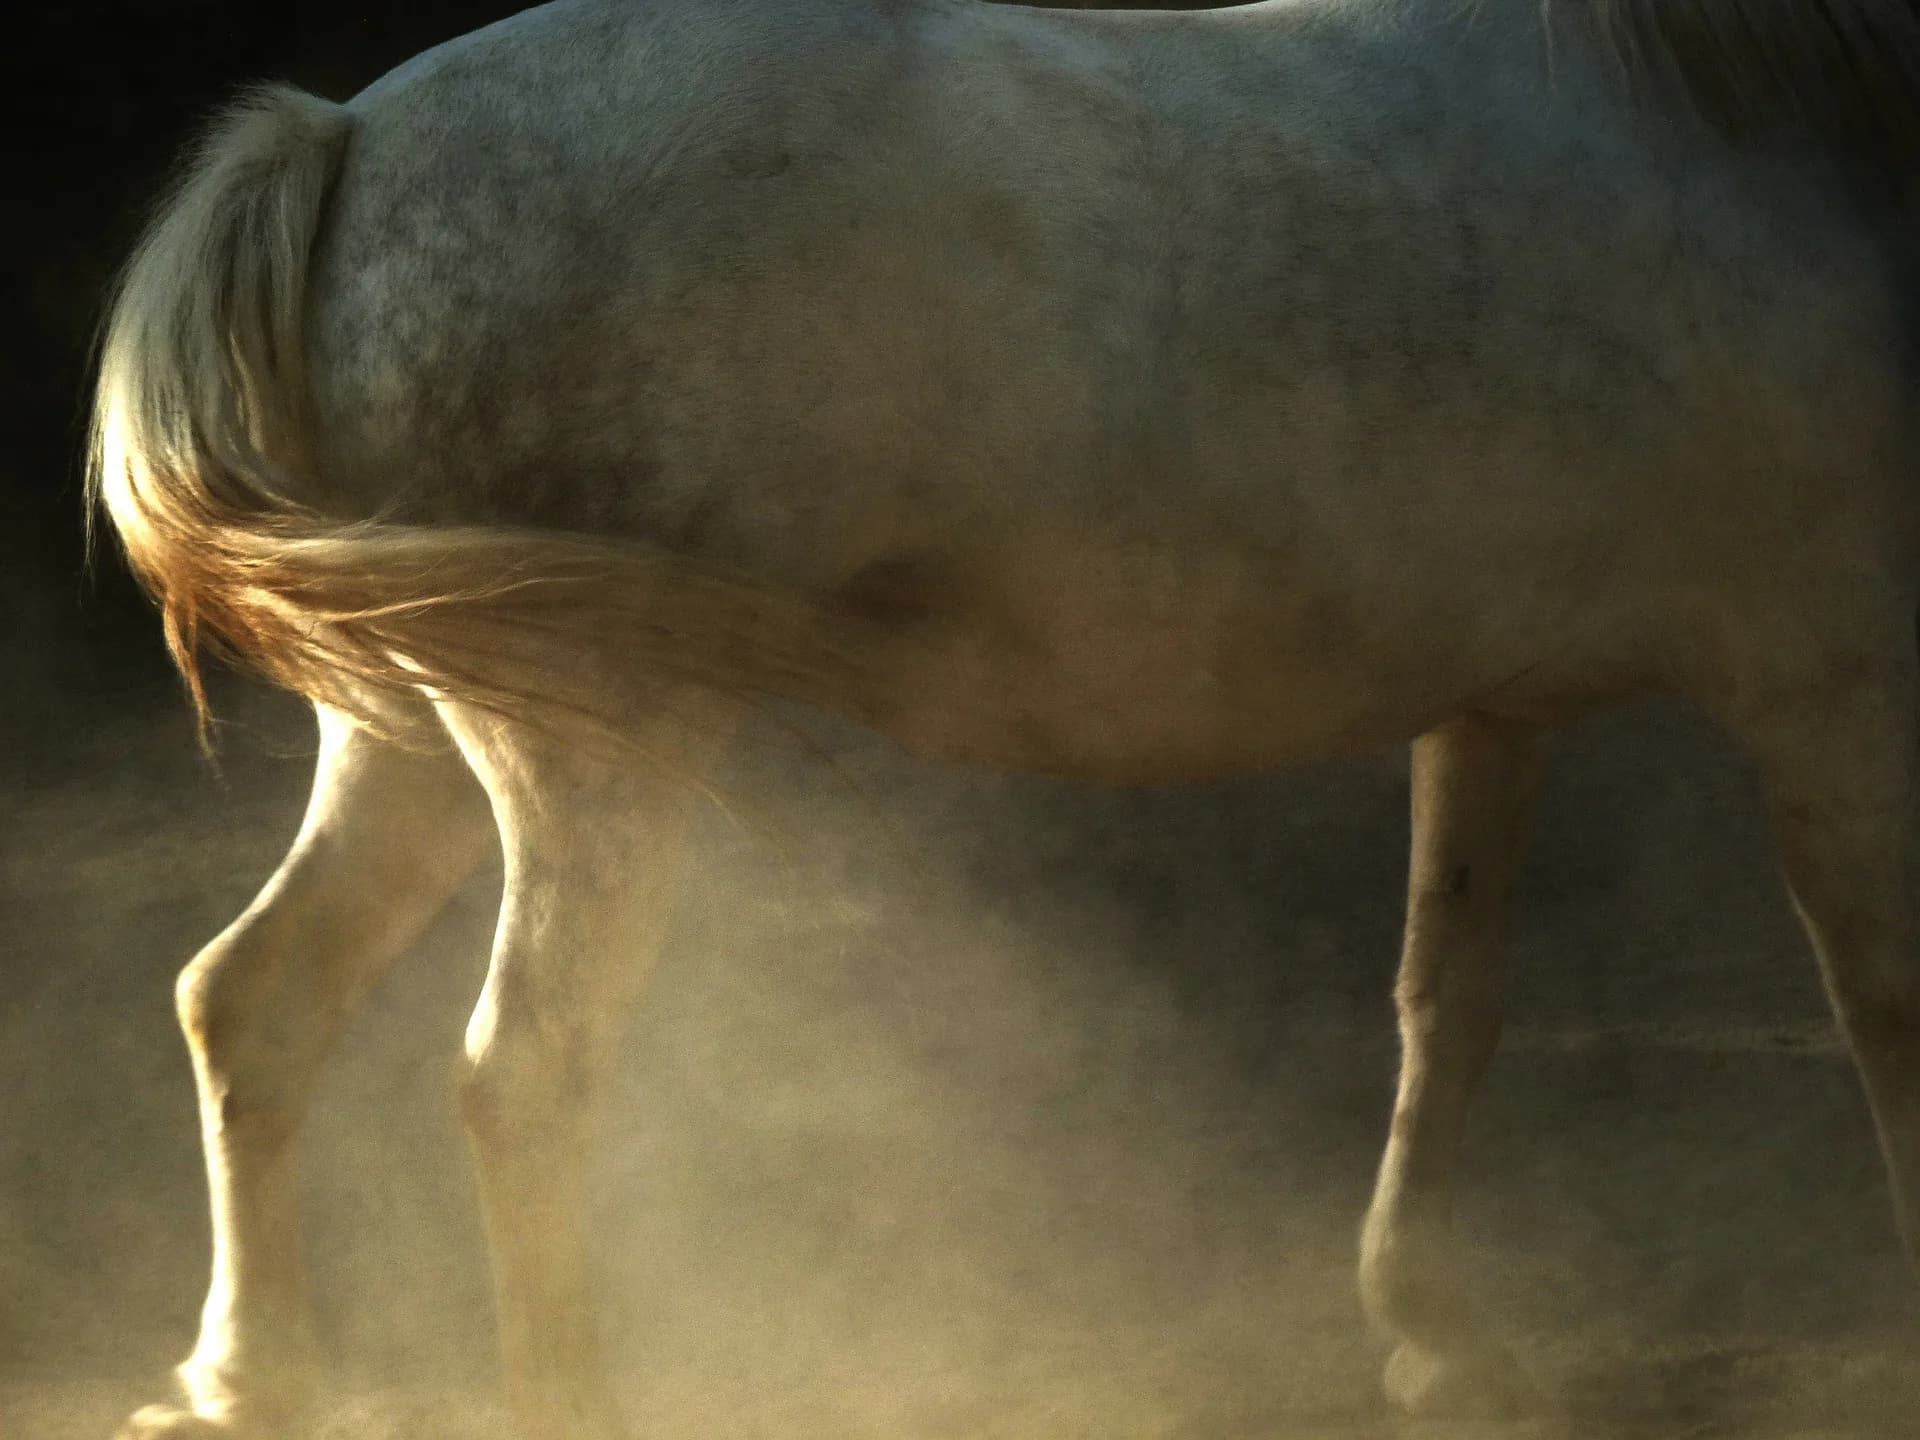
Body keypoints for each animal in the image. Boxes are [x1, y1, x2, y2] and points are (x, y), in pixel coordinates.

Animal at [90, 0, 1920, 1433]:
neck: (1736, 113)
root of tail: (348, 139)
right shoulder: (1829, 682)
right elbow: (1882, 1007)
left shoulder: (1494, 702)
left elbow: (1444, 1000)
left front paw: (1426, 1328)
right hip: (586, 756)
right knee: (521, 1075)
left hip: (411, 738)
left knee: (250, 1001)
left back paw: (247, 1382)